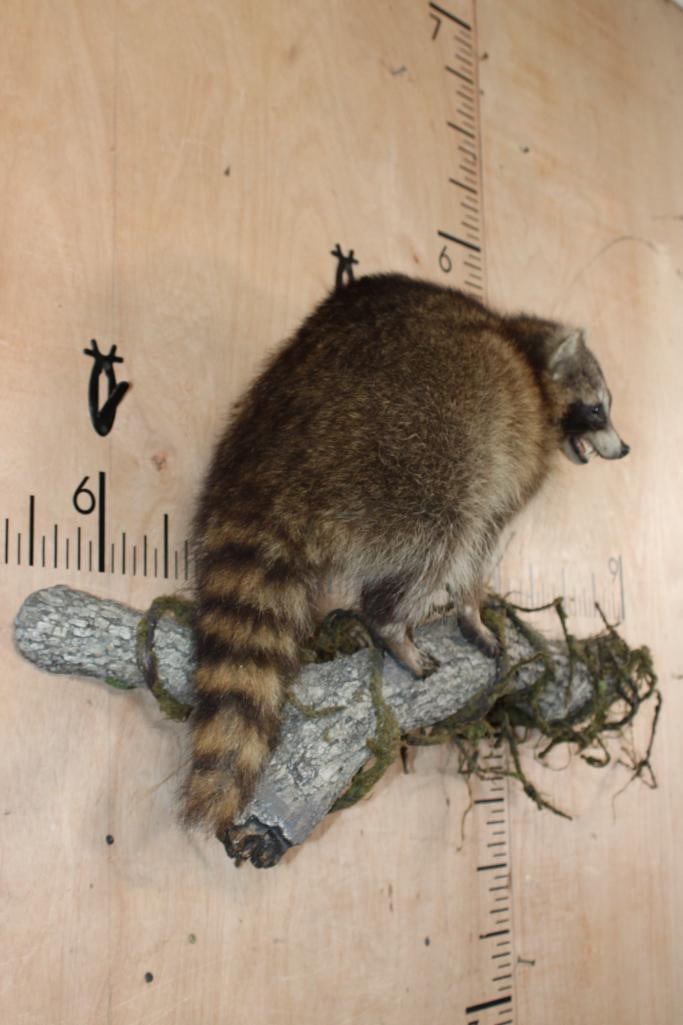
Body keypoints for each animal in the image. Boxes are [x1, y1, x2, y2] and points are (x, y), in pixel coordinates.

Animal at [185, 273, 628, 845]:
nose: (624, 448)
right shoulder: (514, 449)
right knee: (447, 525)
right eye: (598, 408)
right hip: (409, 454)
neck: (524, 347)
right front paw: (470, 606)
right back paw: (391, 621)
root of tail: (272, 464)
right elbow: (482, 539)